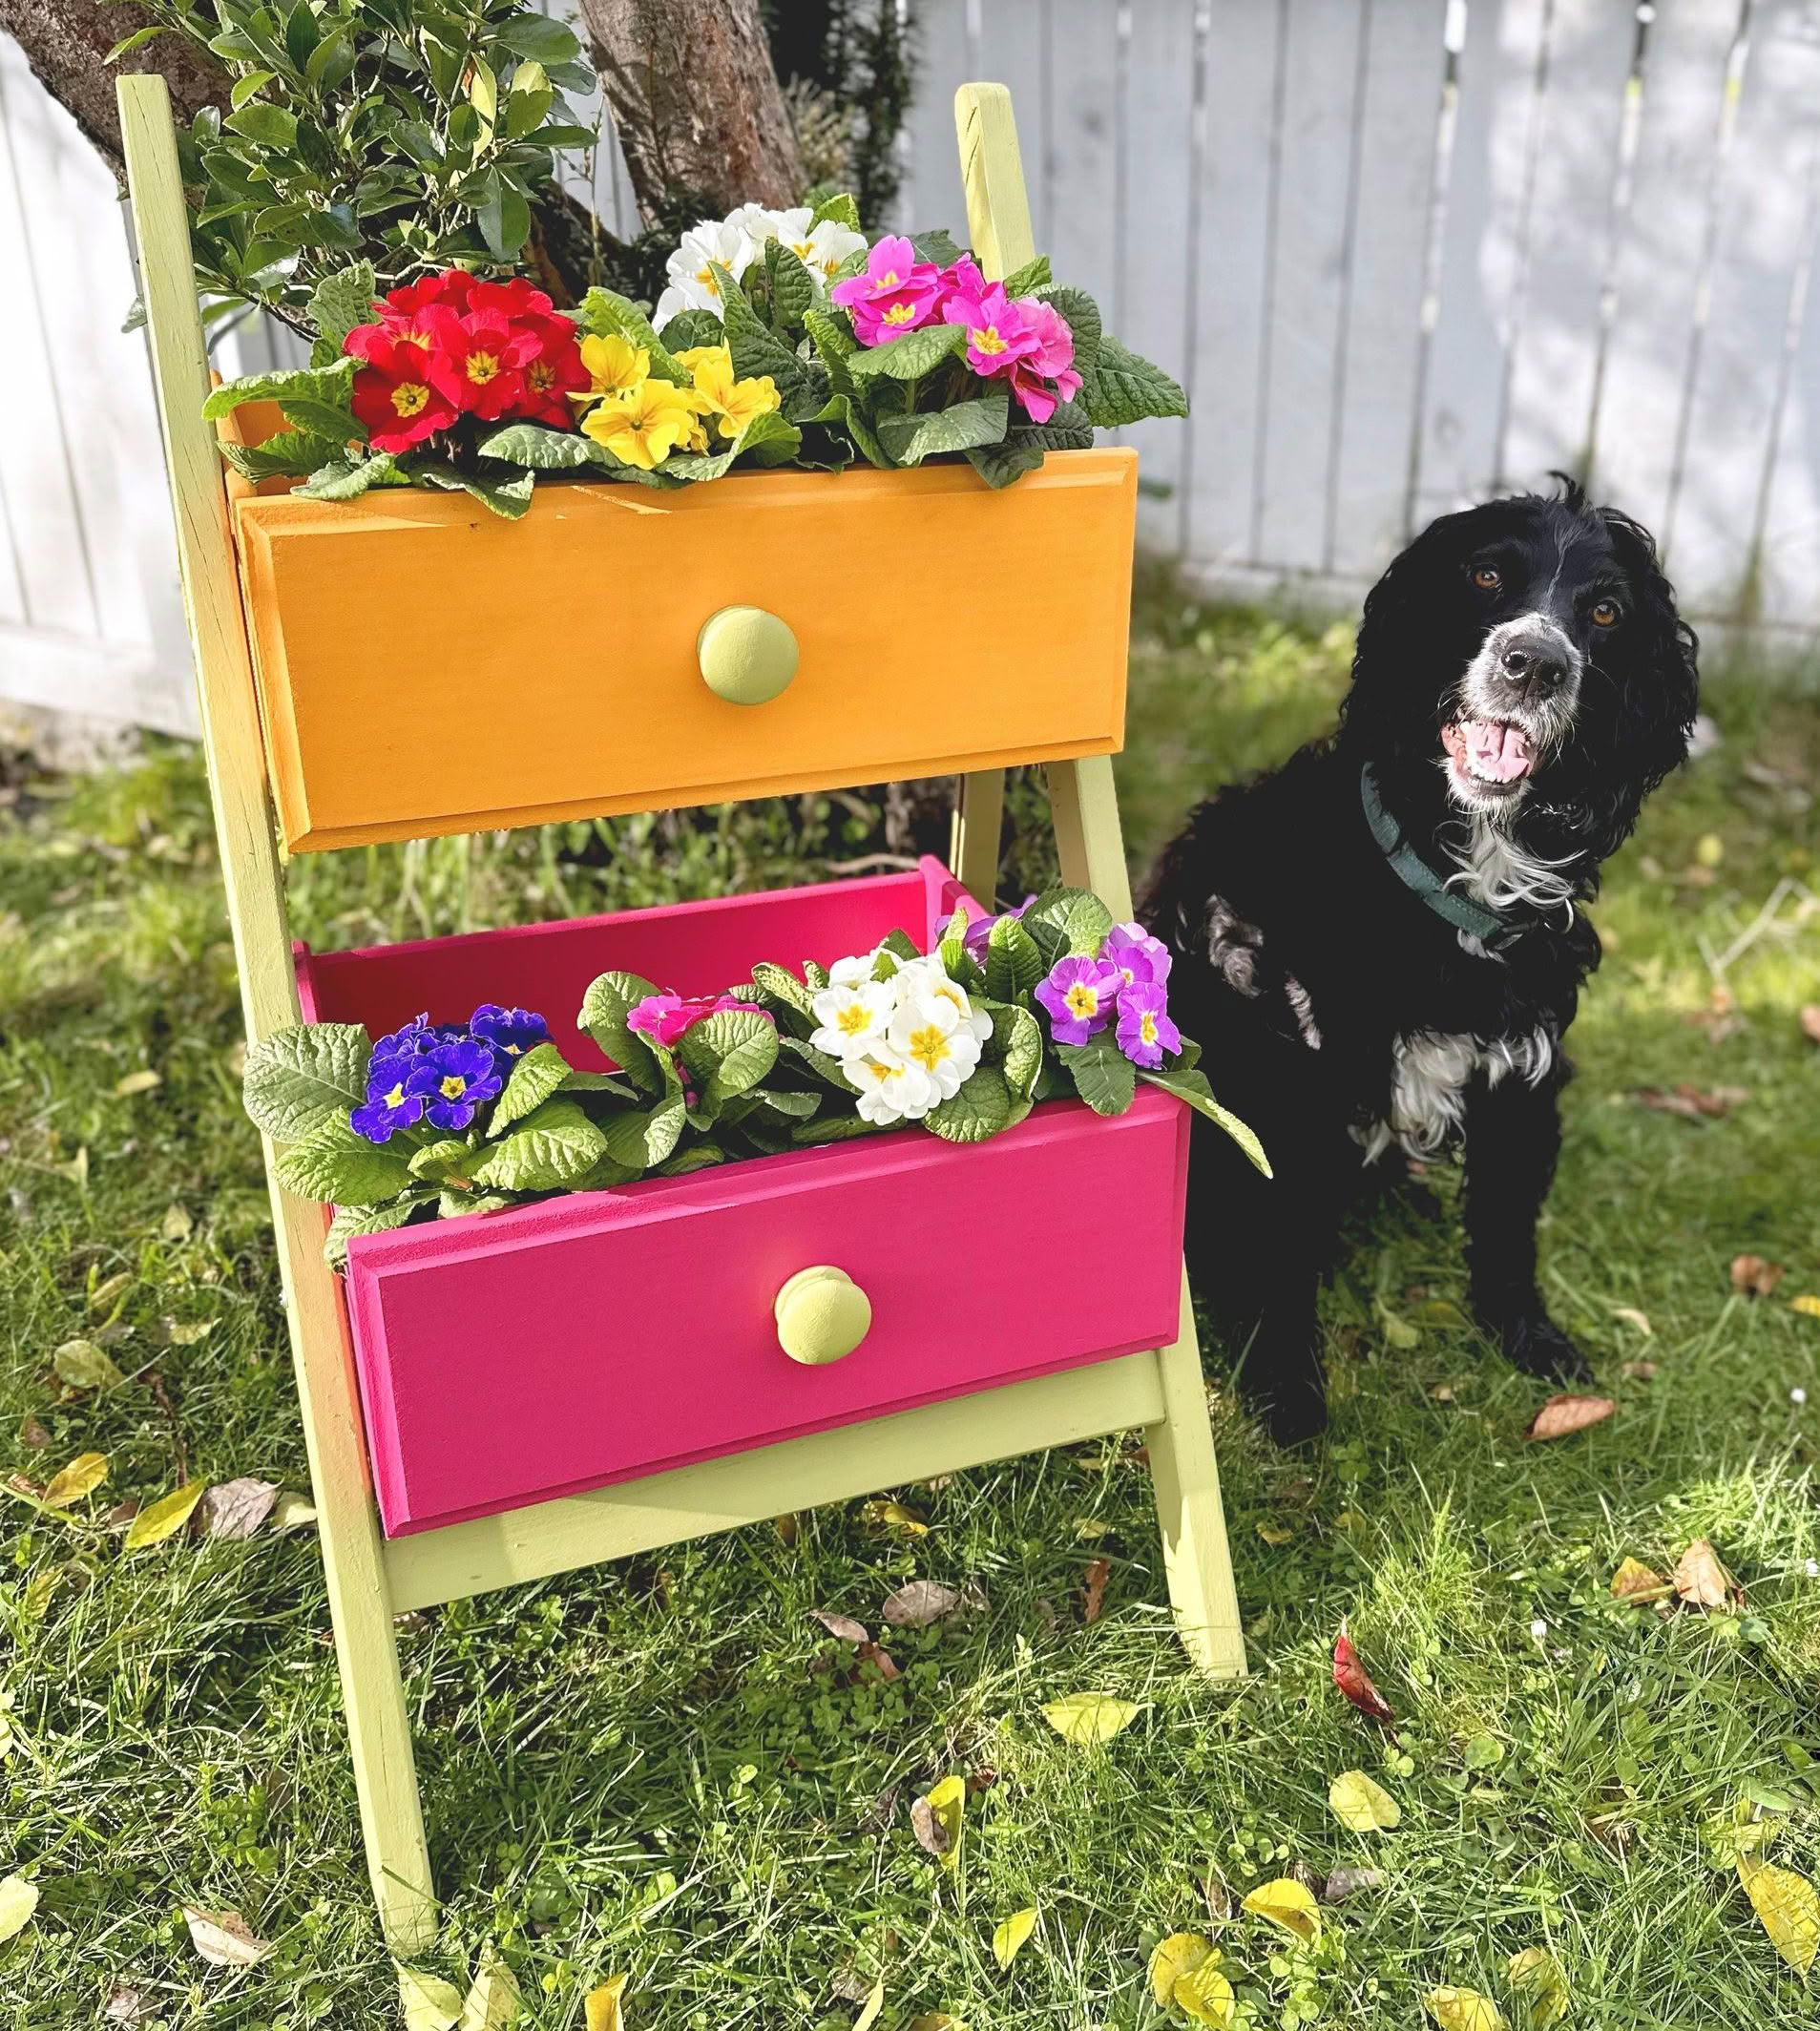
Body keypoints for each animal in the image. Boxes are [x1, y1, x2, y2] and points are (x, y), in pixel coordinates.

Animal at [1145, 485, 1698, 1446]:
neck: (1457, 877)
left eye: (1603, 612)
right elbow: (1277, 1257)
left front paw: (1529, 1338)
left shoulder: (1522, 1080)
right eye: (1484, 576)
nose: (1533, 664)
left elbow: (1507, 1230)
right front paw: (1286, 1391)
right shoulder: (1288, 1092)